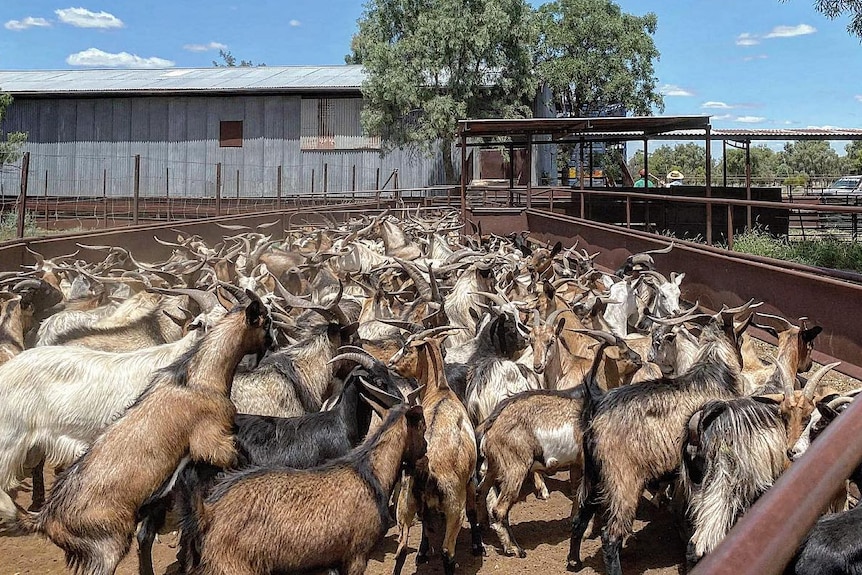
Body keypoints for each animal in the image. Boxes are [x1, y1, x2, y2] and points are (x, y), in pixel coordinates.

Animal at [186, 400, 428, 575]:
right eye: (422, 426)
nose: (425, 450)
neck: (370, 473)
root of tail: (209, 512)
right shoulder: (357, 555)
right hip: (234, 566)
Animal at [572, 302, 760, 575]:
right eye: (740, 336)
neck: (715, 372)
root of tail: (596, 404)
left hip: (593, 473)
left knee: (580, 516)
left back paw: (573, 561)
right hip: (623, 480)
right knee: (610, 537)